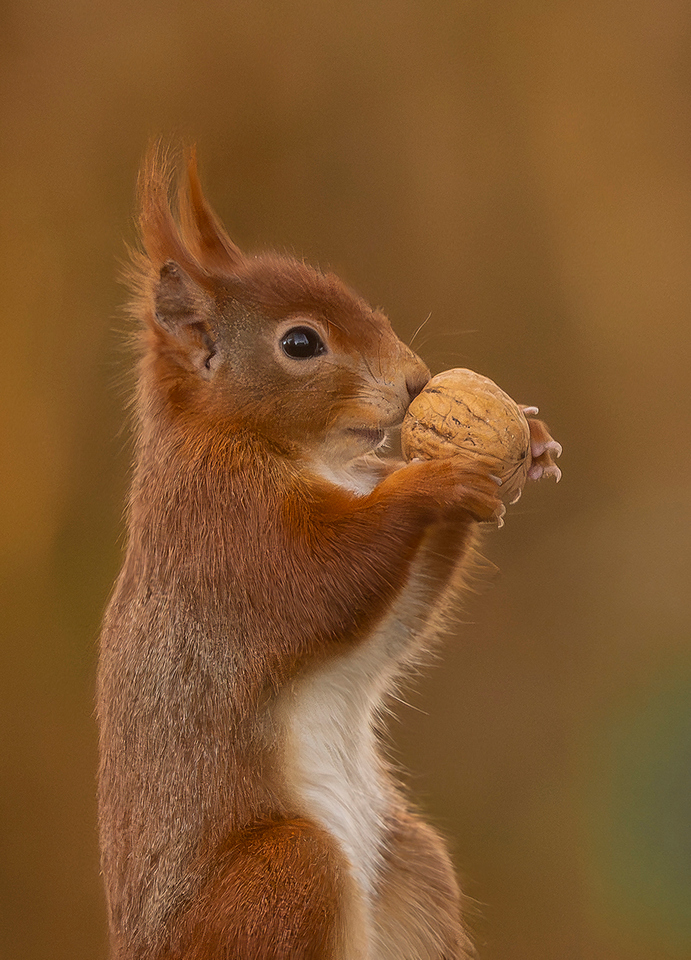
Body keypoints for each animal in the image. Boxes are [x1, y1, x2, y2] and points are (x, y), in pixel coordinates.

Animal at [97, 145, 556, 960]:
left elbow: (395, 614)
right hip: (285, 880)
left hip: (411, 865)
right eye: (301, 343)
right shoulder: (224, 533)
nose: (415, 381)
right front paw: (435, 481)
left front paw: (526, 438)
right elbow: (321, 580)